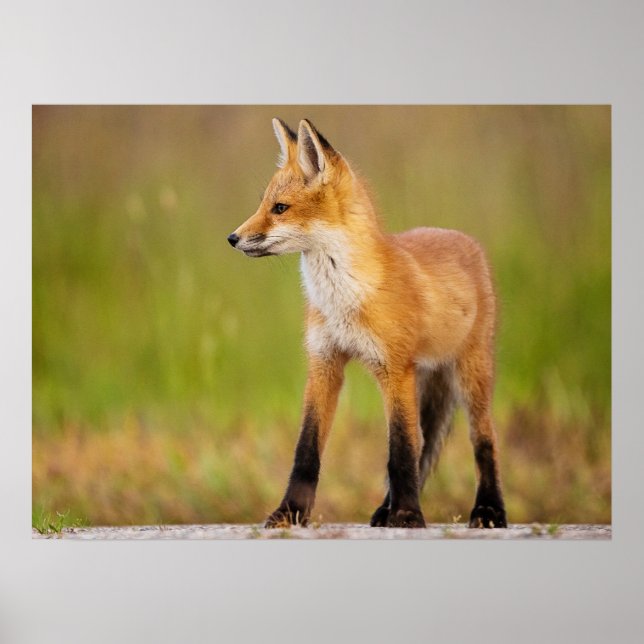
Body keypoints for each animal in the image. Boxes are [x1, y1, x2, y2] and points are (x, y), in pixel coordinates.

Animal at [227, 118, 507, 529]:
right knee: (424, 442)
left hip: (470, 374)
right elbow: (306, 450)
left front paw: (407, 514)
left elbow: (400, 450)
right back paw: (384, 509)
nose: (233, 238)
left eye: (280, 208)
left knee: (482, 441)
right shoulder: (324, 363)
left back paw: (488, 510)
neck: (343, 299)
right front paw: (290, 512)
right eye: (263, 205)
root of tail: (460, 236)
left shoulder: (394, 368)